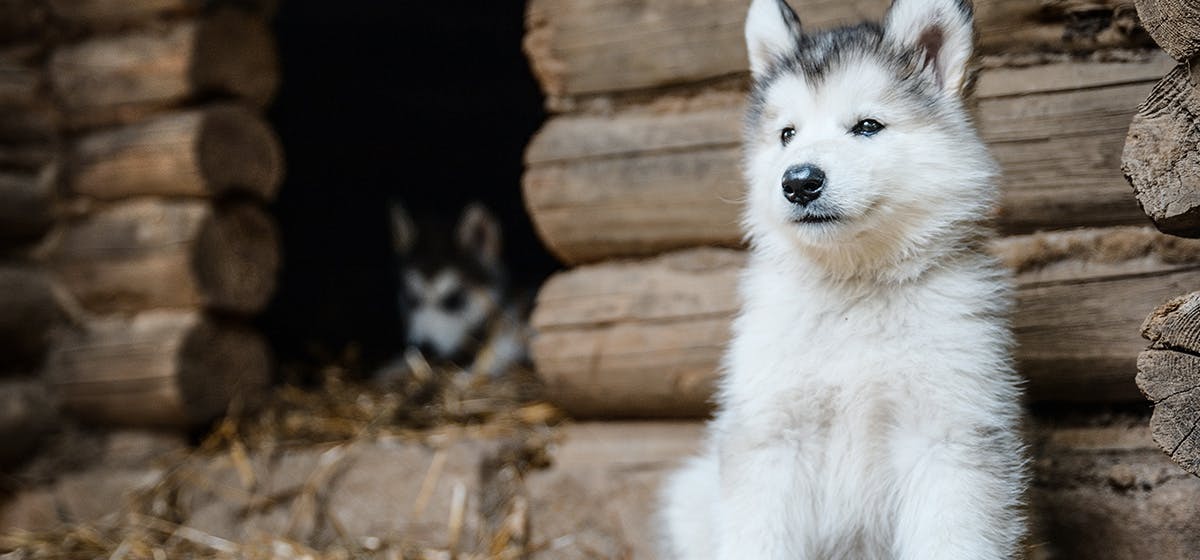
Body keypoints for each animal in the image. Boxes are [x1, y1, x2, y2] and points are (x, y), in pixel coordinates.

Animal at [662, 0, 1027, 558]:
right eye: (787, 134)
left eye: (868, 126)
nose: (799, 182)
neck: (856, 284)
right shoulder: (772, 432)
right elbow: (759, 536)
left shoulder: (948, 435)